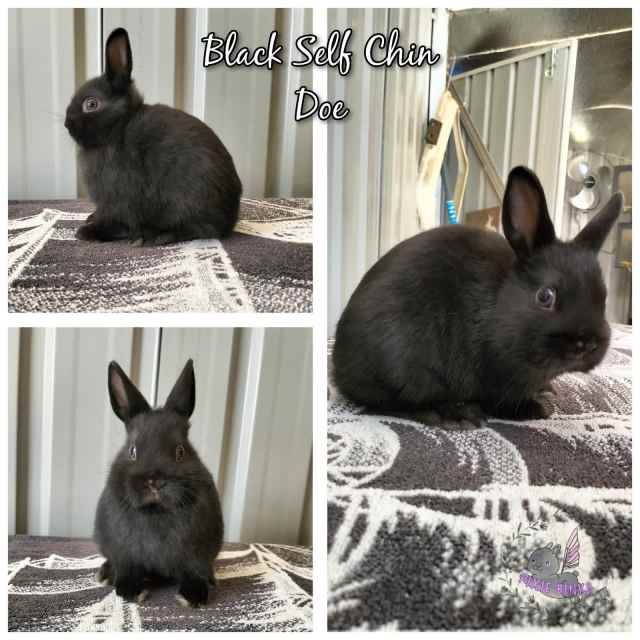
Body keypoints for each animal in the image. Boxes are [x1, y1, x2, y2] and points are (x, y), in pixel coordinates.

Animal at [64, 27, 242, 245]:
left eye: (91, 104)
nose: (67, 124)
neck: (116, 128)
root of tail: (231, 218)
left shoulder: (119, 199)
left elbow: (118, 221)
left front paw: (89, 232)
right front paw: (91, 219)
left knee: (200, 228)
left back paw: (158, 235)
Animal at [94, 358, 224, 607]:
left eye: (180, 451)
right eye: (132, 451)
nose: (154, 481)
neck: (156, 511)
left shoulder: (199, 552)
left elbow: (196, 571)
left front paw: (193, 597)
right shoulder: (125, 551)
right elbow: (127, 568)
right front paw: (130, 592)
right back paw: (105, 574)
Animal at [333, 166, 623, 427]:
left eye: (604, 297)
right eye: (545, 296)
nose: (587, 344)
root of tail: (338, 367)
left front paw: (547, 391)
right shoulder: (497, 379)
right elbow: (503, 403)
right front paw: (538, 408)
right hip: (400, 365)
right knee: (390, 403)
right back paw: (452, 414)